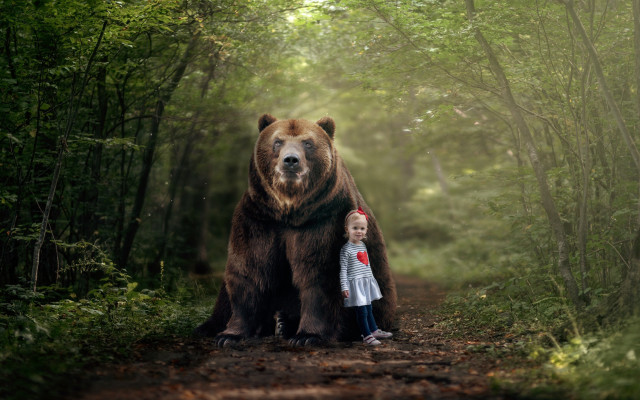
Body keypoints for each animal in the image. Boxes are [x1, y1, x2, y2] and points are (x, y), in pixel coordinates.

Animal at [194, 114, 397, 347]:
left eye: (307, 143)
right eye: (277, 141)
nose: (291, 160)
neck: (289, 210)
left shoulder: (324, 219)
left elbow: (319, 273)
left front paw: (307, 335)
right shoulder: (258, 219)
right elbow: (249, 271)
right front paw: (229, 335)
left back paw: (285, 324)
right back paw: (211, 327)